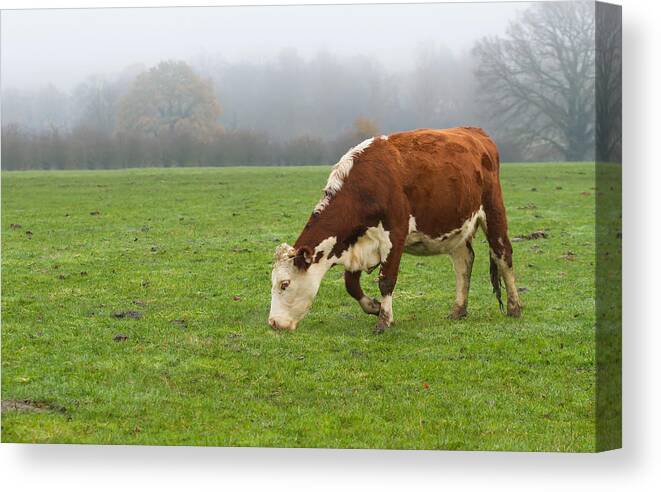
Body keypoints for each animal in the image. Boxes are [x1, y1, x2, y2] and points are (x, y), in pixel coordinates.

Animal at [268, 128, 520, 334]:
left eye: (284, 284)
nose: (273, 322)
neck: (366, 186)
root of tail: (475, 132)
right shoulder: (355, 243)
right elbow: (351, 284)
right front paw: (373, 306)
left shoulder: (394, 236)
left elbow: (386, 280)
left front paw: (384, 320)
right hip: (456, 227)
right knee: (463, 263)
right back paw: (458, 309)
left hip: (493, 210)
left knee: (503, 255)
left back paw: (514, 307)